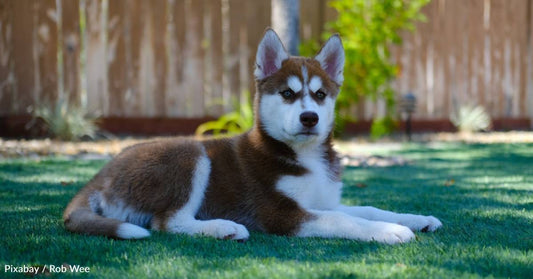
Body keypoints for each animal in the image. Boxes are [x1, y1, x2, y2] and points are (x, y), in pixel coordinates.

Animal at [63, 29, 440, 245]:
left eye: (320, 95)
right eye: (287, 94)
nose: (309, 117)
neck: (305, 156)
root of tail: (100, 176)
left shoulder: (323, 200)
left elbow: (370, 208)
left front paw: (416, 219)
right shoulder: (281, 213)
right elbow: (344, 219)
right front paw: (390, 231)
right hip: (189, 154)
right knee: (167, 222)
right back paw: (222, 228)